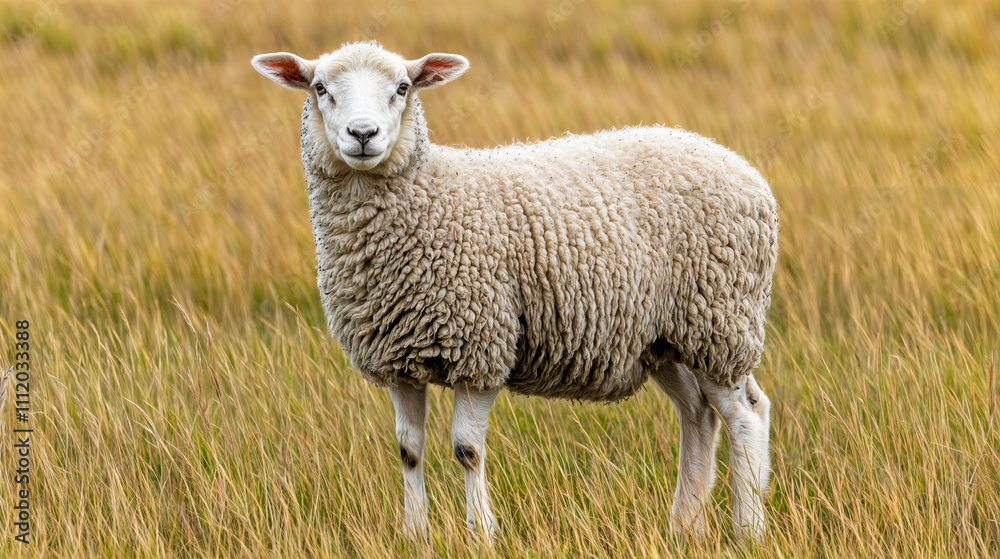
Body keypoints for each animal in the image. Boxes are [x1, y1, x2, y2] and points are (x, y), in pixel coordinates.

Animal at [251, 41, 778, 543]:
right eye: (320, 88)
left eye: (403, 88)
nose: (363, 135)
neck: (427, 196)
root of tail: (740, 166)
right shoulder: (399, 357)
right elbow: (408, 450)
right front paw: (414, 533)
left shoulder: (482, 346)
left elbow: (467, 449)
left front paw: (481, 533)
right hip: (665, 337)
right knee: (699, 414)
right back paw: (684, 525)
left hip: (719, 318)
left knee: (745, 414)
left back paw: (748, 528)